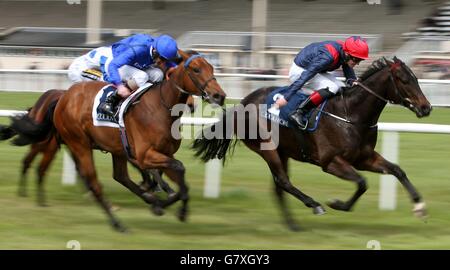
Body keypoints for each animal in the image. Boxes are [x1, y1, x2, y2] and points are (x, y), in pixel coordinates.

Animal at [10, 51, 227, 232]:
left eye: (212, 68)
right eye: (196, 69)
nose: (220, 95)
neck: (160, 107)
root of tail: (63, 97)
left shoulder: (163, 153)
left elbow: (179, 178)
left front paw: (169, 205)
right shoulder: (145, 155)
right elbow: (176, 168)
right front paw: (166, 203)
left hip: (115, 149)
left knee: (120, 176)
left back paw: (148, 201)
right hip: (78, 143)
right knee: (92, 182)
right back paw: (117, 223)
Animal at [193, 56, 432, 230]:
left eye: (416, 78)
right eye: (404, 80)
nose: (426, 107)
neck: (351, 113)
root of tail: (242, 104)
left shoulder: (364, 158)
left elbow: (397, 170)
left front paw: (419, 206)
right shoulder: (331, 162)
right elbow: (362, 182)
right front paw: (338, 204)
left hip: (283, 152)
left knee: (279, 187)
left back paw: (293, 224)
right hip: (268, 149)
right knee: (283, 182)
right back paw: (314, 205)